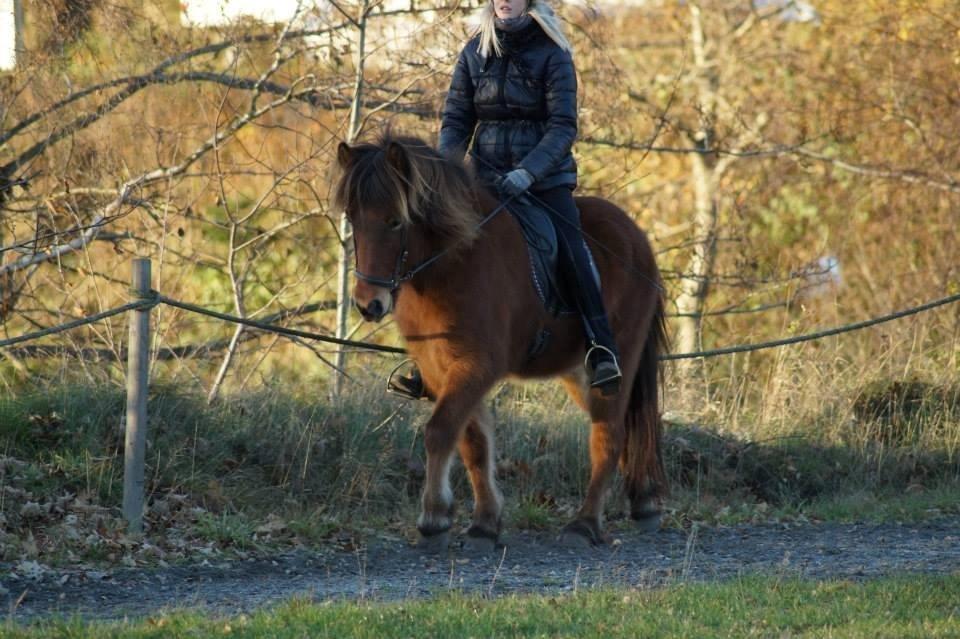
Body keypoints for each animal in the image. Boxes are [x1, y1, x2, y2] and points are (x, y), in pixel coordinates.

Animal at [334, 132, 667, 549]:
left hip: (616, 359)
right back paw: (644, 504)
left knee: (610, 436)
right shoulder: (441, 369)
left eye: (395, 220)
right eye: (353, 218)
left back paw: (584, 524)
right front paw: (483, 523)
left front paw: (433, 520)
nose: (369, 304)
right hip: (577, 373)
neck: (453, 261)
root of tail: (639, 239)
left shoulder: (477, 365)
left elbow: (440, 431)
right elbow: (472, 442)